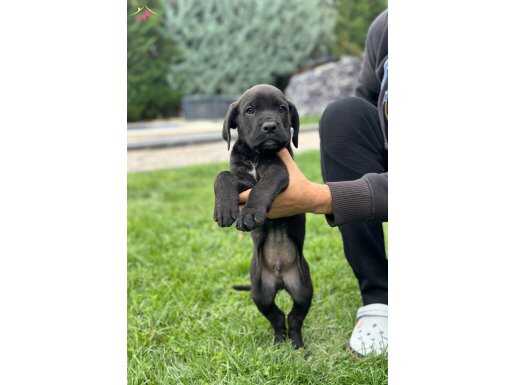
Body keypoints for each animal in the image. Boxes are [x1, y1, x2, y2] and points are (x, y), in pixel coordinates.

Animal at [215, 84, 314, 348]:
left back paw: (297, 345)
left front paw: (250, 214)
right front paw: (224, 209)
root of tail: (280, 278)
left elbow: (263, 187)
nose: (270, 126)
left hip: (303, 289)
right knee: (277, 316)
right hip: (260, 293)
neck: (256, 155)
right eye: (250, 110)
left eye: (281, 108)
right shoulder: (241, 179)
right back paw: (279, 341)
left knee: (294, 317)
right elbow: (222, 176)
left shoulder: (279, 171)